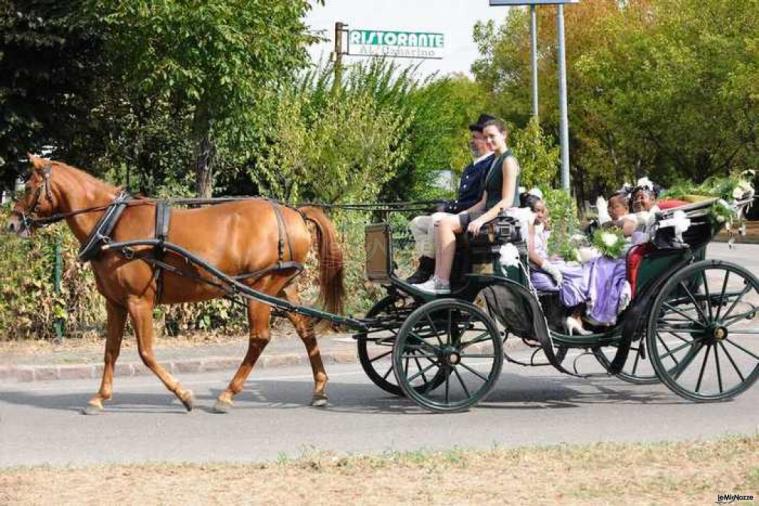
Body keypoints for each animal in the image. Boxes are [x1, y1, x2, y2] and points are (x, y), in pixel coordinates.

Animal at [7, 155, 346, 416]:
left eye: (30, 186)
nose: (12, 223)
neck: (112, 224)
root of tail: (293, 212)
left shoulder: (138, 302)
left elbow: (145, 352)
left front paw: (184, 395)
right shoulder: (115, 303)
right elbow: (111, 350)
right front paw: (99, 397)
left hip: (260, 289)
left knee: (259, 338)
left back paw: (227, 394)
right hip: (283, 288)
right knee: (305, 329)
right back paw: (319, 389)